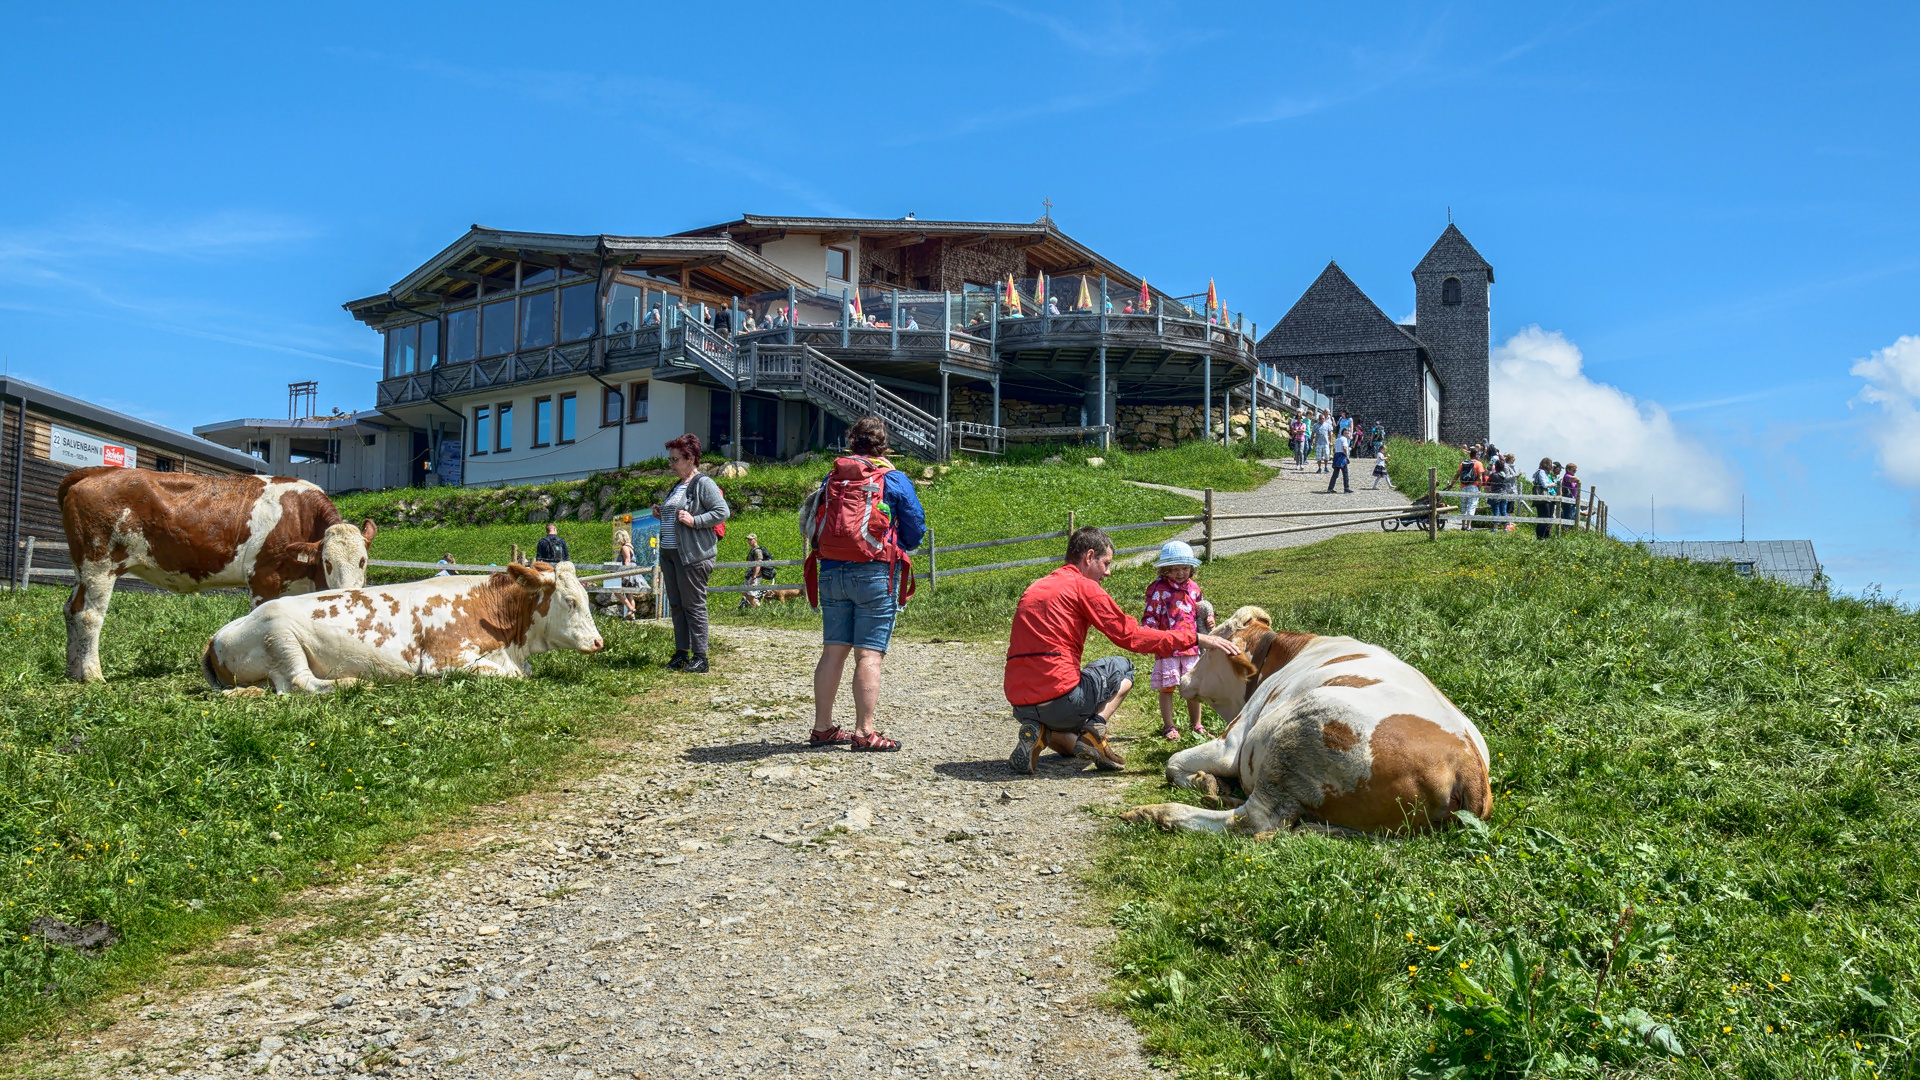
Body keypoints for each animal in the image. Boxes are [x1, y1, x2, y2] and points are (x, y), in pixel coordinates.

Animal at [55, 465, 378, 680]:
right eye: (328, 562)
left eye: (363, 561)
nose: (351, 591)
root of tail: (96, 472)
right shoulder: (264, 578)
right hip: (99, 563)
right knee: (88, 614)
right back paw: (92, 675)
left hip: (82, 568)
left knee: (71, 609)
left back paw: (72, 670)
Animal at [200, 557, 599, 691]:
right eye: (570, 600)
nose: (599, 643)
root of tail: (216, 636)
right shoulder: (442, 660)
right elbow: (512, 676)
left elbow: (522, 672)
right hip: (280, 635)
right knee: (299, 682)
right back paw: (349, 683)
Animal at [1121, 599, 1489, 837]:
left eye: (1210, 649)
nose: (1184, 678)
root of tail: (1467, 762)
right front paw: (1210, 782)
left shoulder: (1232, 743)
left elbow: (1173, 764)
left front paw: (1204, 781)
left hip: (1294, 740)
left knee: (1254, 820)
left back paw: (1158, 812)